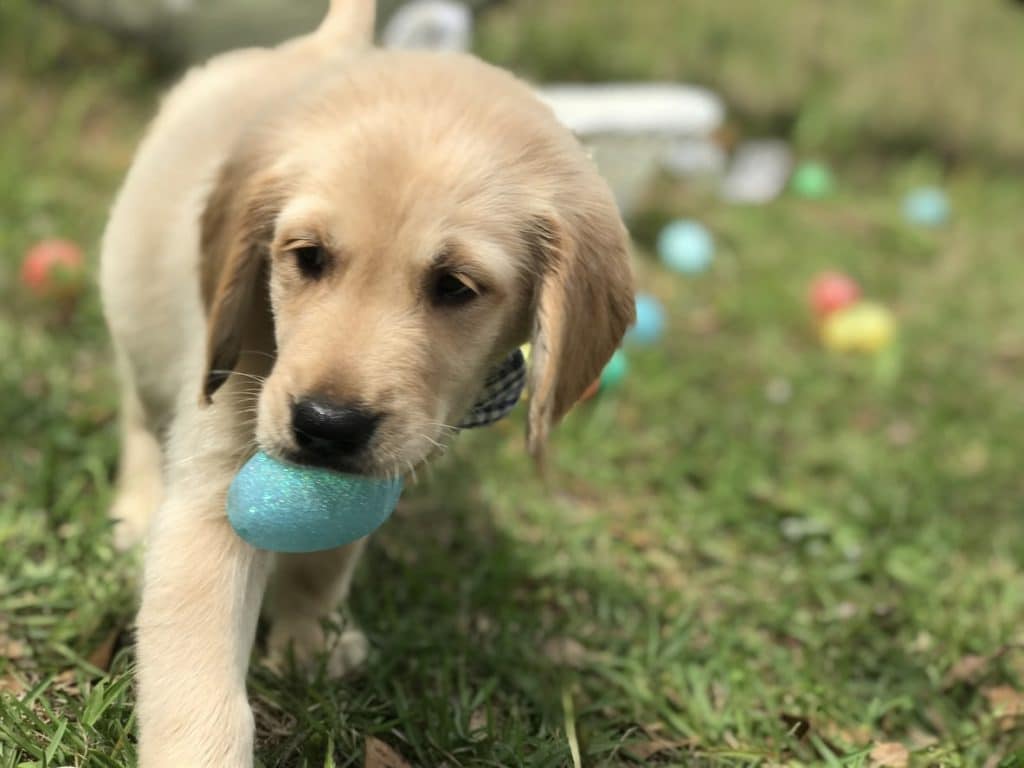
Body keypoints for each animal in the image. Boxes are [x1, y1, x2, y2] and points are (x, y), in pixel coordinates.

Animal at [99, 0, 634, 765]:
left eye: (455, 286)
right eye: (307, 257)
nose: (326, 424)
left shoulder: (374, 469)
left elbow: (326, 557)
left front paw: (309, 640)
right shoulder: (215, 485)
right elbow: (201, 692)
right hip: (137, 314)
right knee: (140, 420)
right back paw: (137, 511)